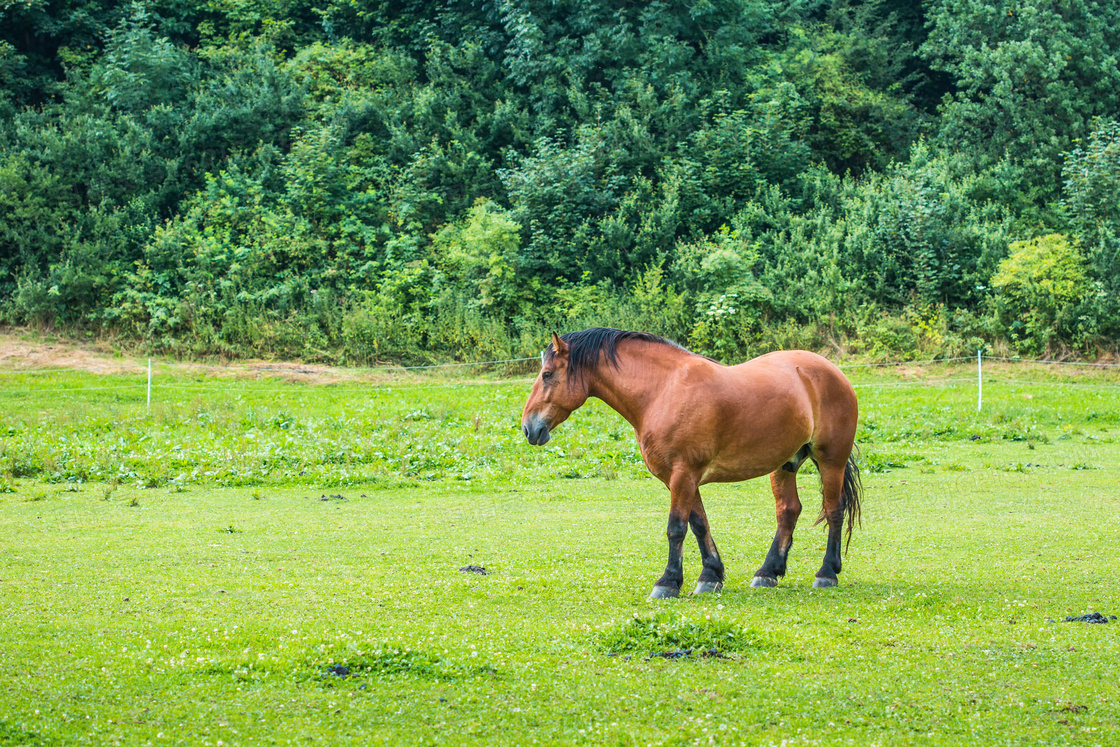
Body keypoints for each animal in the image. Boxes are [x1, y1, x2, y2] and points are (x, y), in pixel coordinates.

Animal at [519, 327, 860, 600]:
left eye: (547, 375)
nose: (528, 428)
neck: (662, 391)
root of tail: (831, 370)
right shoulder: (683, 477)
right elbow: (699, 524)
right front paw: (710, 575)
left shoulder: (683, 474)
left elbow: (676, 528)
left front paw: (668, 582)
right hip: (784, 464)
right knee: (788, 511)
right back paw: (768, 572)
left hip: (831, 460)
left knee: (834, 509)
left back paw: (827, 573)